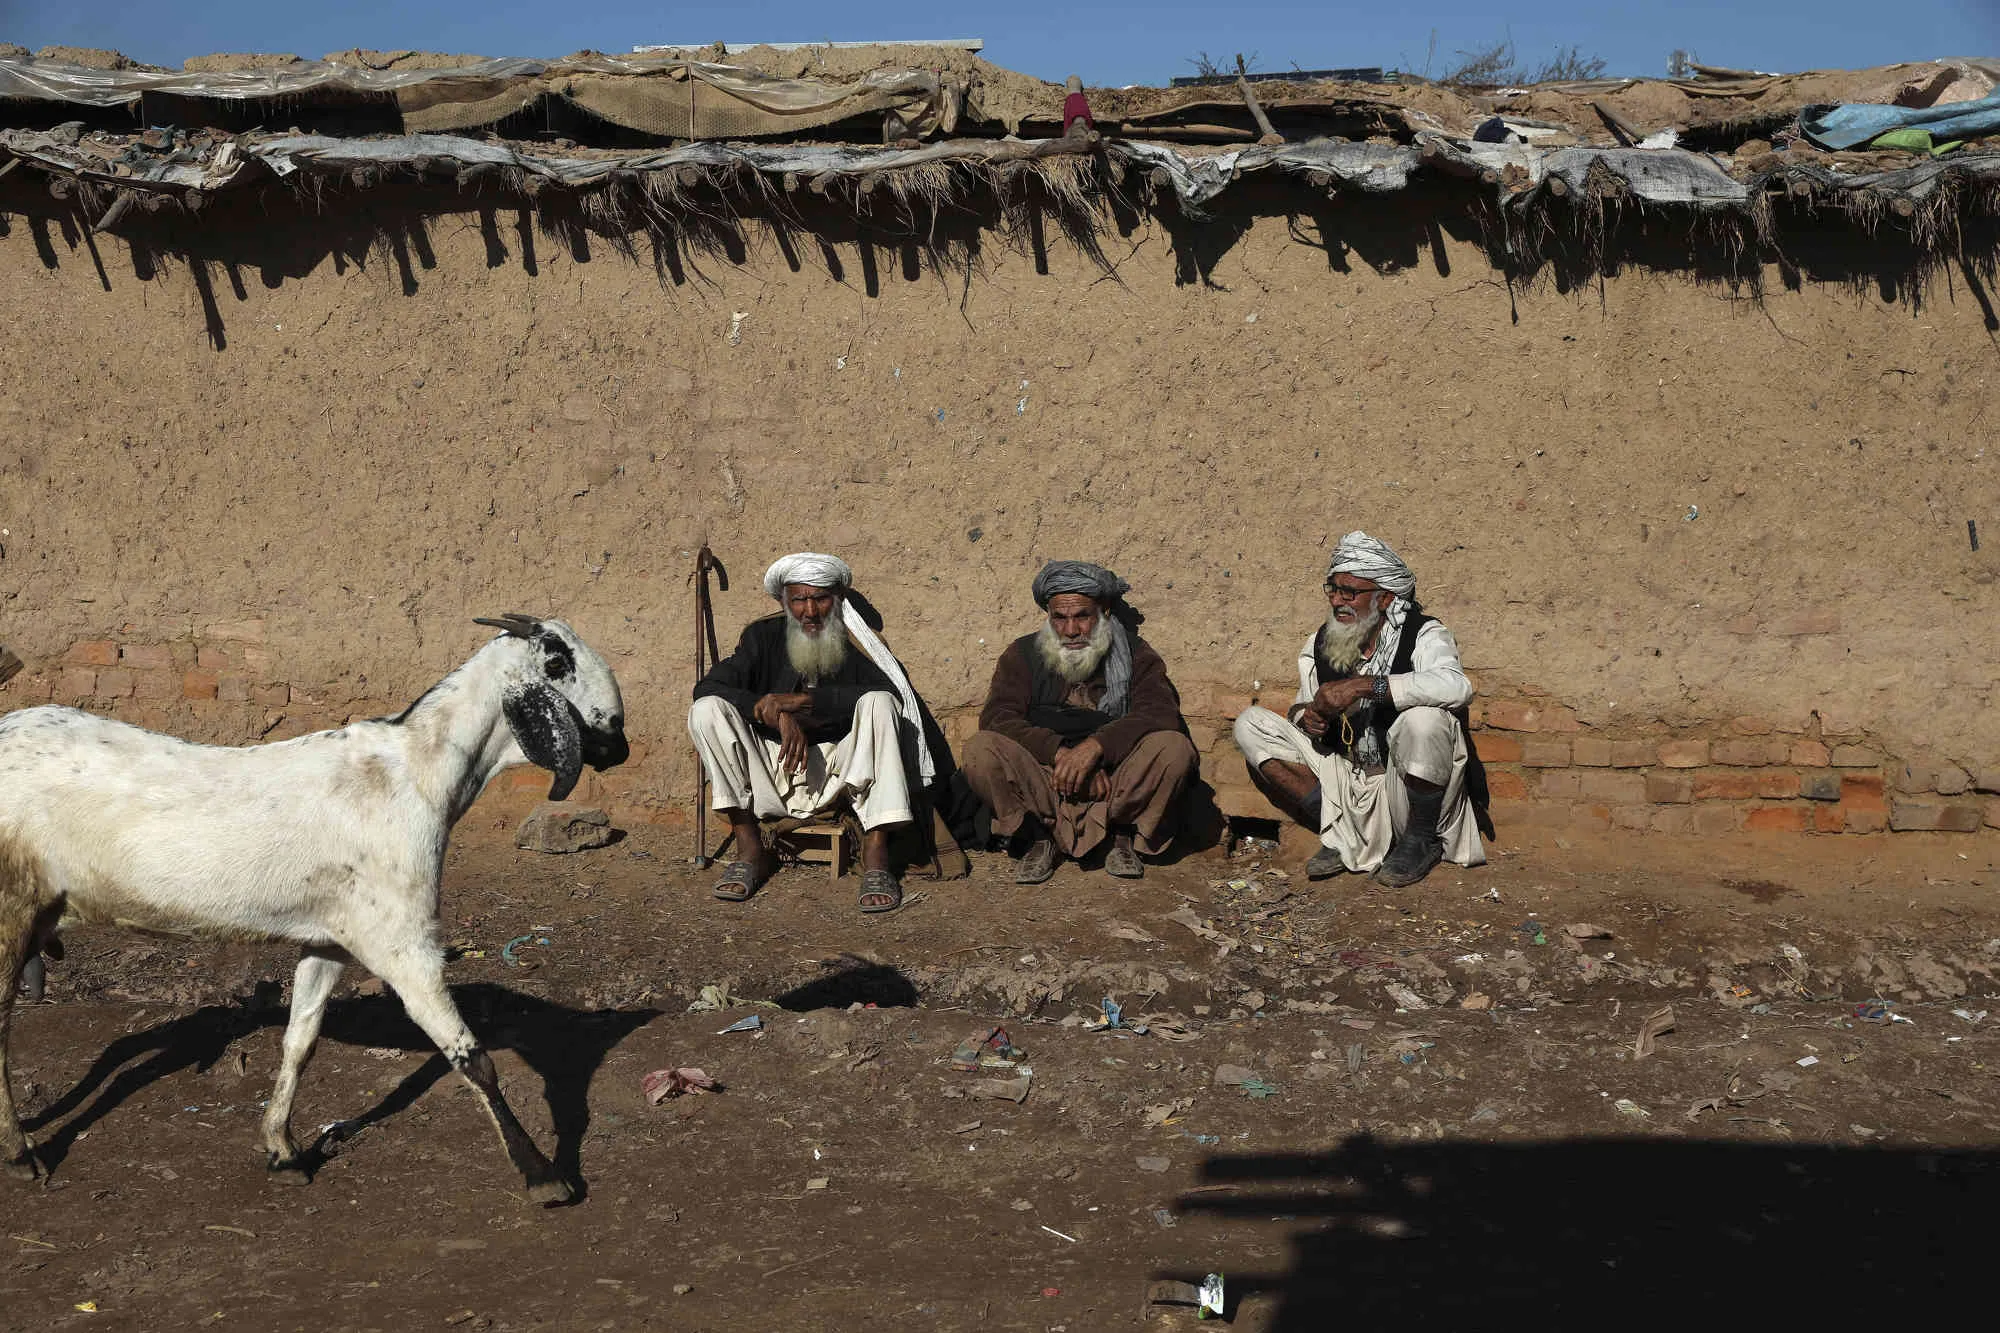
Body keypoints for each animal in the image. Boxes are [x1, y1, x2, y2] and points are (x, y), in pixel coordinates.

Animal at [0, 614, 627, 1204]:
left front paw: (282, 1150)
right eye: (557, 661)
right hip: (10, 908)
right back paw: (22, 1154)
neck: (414, 774)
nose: (618, 743)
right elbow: (472, 1057)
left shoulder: (330, 938)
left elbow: (300, 1042)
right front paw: (544, 1176)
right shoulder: (401, 940)